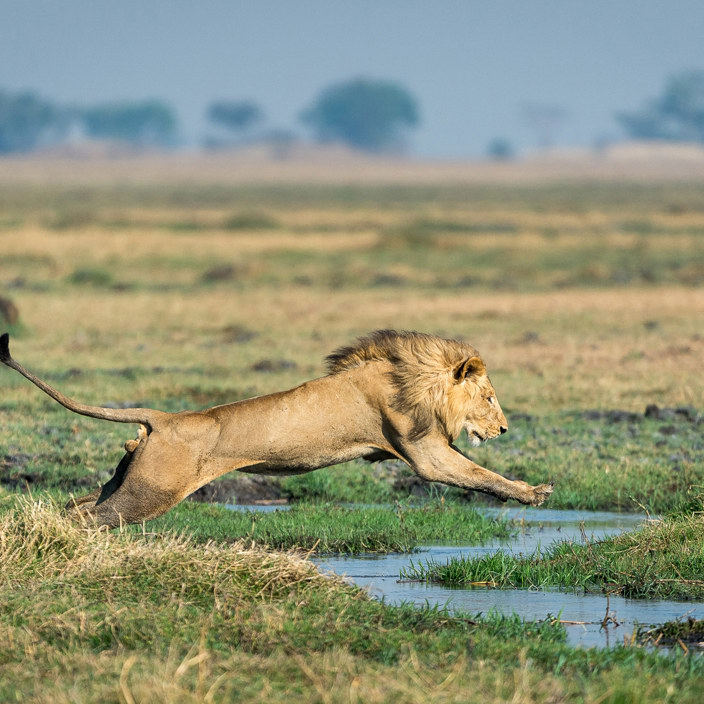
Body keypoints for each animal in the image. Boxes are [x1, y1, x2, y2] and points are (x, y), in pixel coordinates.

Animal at [0, 330, 553, 528]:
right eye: (489, 397)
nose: (504, 429)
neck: (415, 377)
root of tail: (165, 418)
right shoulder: (424, 453)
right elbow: (479, 475)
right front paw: (532, 492)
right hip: (151, 493)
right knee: (88, 516)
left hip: (130, 480)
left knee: (76, 504)